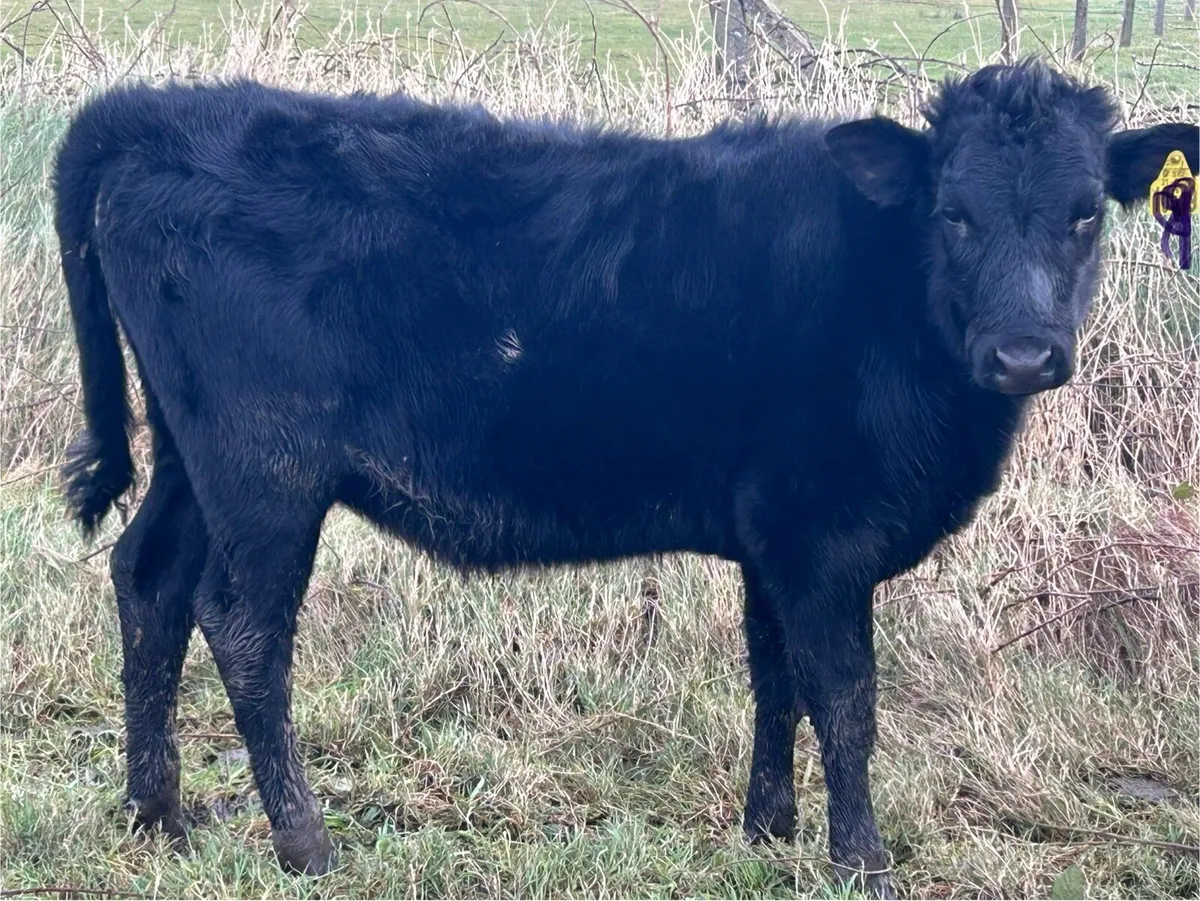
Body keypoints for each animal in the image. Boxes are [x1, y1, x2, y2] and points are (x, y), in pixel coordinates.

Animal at [52, 58, 1197, 897]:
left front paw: (767, 830)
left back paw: (156, 816)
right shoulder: (822, 533)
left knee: (148, 581)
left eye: (1086, 211)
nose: (1024, 353)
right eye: (952, 212)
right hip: (264, 469)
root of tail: (155, 109)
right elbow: (846, 696)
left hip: (191, 457)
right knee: (242, 623)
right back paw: (304, 841)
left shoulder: (771, 536)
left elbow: (774, 678)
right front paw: (860, 861)